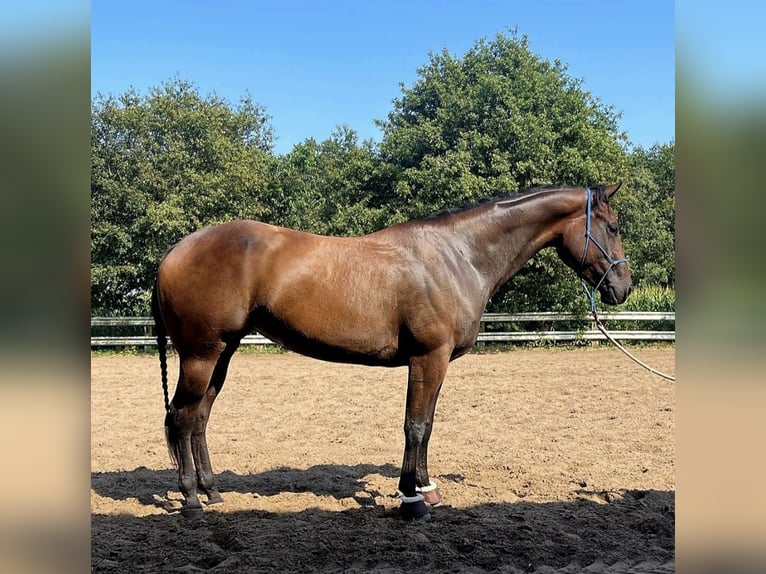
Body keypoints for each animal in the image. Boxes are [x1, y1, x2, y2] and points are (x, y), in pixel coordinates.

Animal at [152, 184, 631, 520]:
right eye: (612, 227)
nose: (622, 288)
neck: (459, 255)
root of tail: (175, 250)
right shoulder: (428, 357)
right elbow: (415, 426)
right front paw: (411, 499)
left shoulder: (435, 363)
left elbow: (428, 425)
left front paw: (428, 489)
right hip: (201, 354)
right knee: (182, 416)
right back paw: (191, 499)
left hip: (223, 353)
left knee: (200, 417)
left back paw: (213, 492)